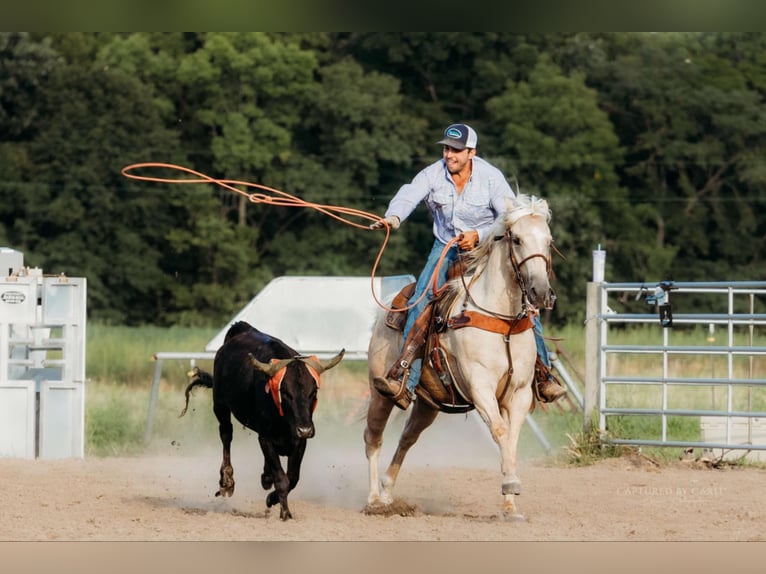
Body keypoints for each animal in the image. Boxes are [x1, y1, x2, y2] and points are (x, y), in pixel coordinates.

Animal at [366, 196, 560, 524]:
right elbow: (500, 431)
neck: (503, 321)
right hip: (380, 393)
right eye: (517, 239)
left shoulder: (519, 393)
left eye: (548, 242)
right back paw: (374, 500)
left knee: (406, 438)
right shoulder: (480, 386)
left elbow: (511, 438)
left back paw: (388, 491)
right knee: (374, 437)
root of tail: (386, 312)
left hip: (427, 404)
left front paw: (510, 506)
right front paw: (511, 484)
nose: (541, 292)